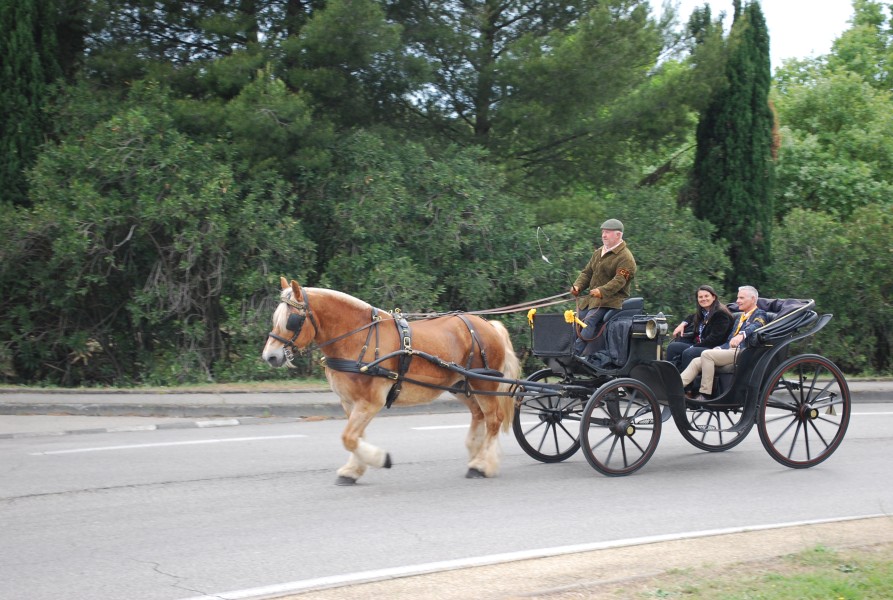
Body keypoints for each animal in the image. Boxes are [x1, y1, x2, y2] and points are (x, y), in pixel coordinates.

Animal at [262, 278, 520, 486]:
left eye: (292, 320)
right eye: (276, 318)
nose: (270, 356)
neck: (357, 339)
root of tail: (488, 325)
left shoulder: (370, 401)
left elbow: (349, 437)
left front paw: (380, 459)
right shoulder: (349, 403)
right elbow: (355, 438)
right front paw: (352, 471)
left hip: (483, 385)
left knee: (493, 419)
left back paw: (482, 464)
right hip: (460, 385)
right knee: (479, 415)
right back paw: (477, 457)